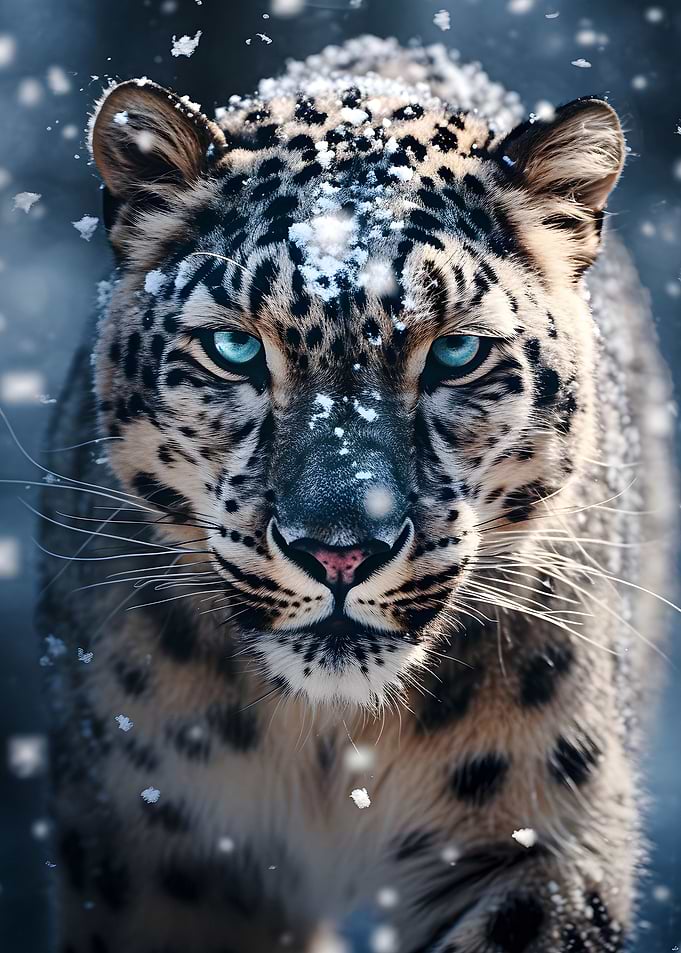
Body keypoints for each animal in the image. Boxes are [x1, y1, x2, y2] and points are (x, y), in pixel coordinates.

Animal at [36, 35, 676, 953]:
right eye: (233, 348)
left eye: (455, 354)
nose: (340, 548)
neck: (332, 746)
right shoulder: (167, 848)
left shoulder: (545, 836)